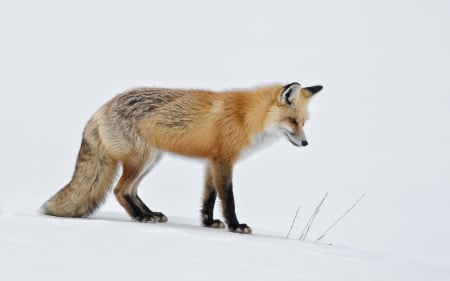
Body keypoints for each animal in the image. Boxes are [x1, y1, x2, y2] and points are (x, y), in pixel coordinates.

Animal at [42, 82, 322, 233]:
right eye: (293, 121)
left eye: (304, 122)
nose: (306, 143)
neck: (247, 118)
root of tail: (101, 109)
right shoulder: (224, 161)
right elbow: (228, 199)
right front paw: (235, 226)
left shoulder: (210, 163)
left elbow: (209, 199)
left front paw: (208, 222)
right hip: (141, 160)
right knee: (120, 190)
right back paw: (140, 217)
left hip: (151, 160)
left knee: (131, 191)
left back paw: (150, 213)